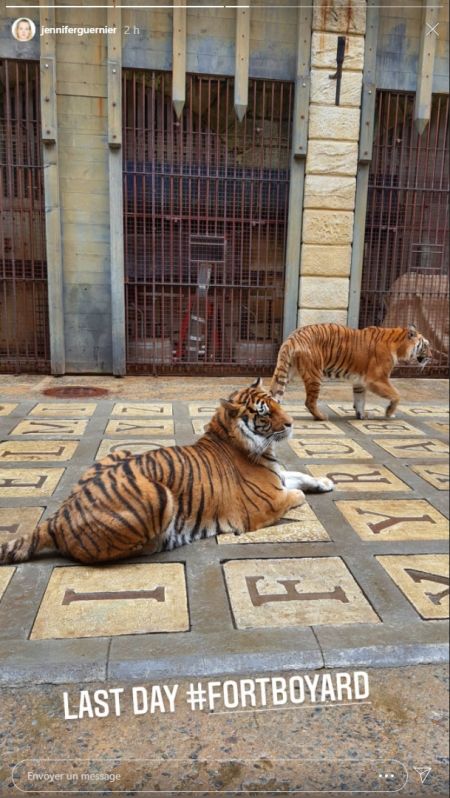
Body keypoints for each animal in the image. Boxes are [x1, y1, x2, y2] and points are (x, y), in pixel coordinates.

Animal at [0, 379, 334, 565]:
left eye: (277, 403)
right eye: (264, 412)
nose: (291, 422)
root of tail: (56, 518)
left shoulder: (278, 476)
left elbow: (299, 475)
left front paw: (326, 481)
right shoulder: (265, 505)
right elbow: (296, 494)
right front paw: (306, 492)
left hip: (119, 454)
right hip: (158, 494)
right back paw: (163, 542)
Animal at [270, 323, 432, 421]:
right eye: (426, 345)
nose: (431, 357)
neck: (398, 345)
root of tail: (293, 337)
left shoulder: (360, 381)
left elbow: (360, 400)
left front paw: (362, 415)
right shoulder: (377, 379)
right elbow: (396, 394)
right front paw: (389, 412)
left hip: (285, 371)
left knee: (273, 395)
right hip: (315, 374)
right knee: (309, 401)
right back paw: (322, 417)